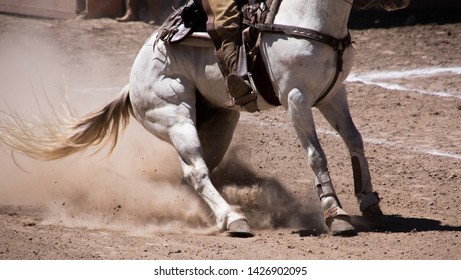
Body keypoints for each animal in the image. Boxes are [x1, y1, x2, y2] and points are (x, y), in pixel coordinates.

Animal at [0, 0, 410, 236]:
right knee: (196, 172)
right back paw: (233, 219)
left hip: (219, 124)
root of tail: (132, 81)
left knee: (196, 174)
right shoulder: (297, 98)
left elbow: (354, 139)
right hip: (175, 118)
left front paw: (369, 202)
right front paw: (334, 212)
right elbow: (316, 154)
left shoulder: (333, 94)